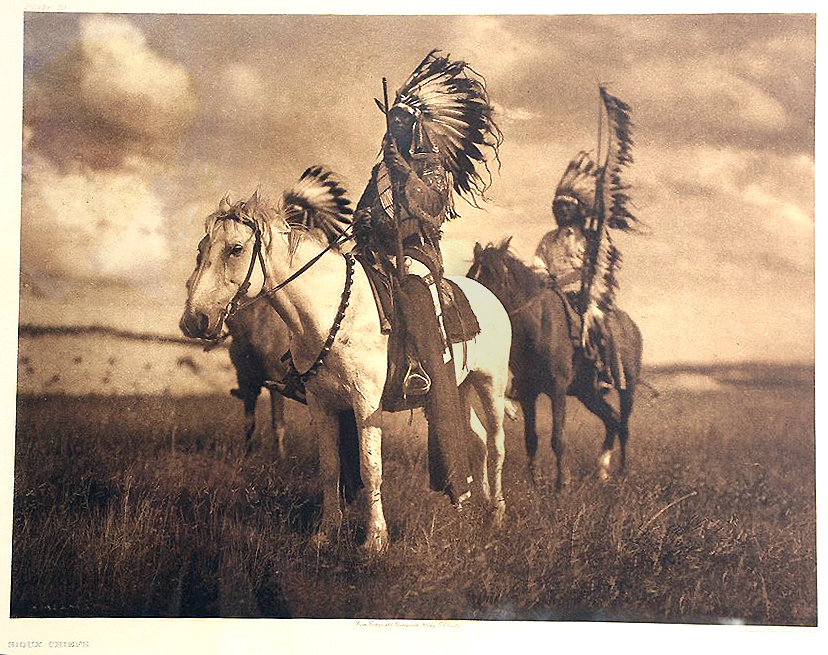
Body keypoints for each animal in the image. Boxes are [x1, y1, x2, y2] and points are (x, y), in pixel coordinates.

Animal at [181, 187, 512, 552]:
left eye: (236, 249)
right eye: (201, 250)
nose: (195, 319)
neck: (331, 312)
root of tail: (490, 297)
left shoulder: (366, 404)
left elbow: (370, 468)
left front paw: (375, 540)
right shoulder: (322, 405)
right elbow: (330, 467)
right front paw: (326, 532)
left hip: (491, 386)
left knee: (496, 444)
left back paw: (496, 515)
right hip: (459, 388)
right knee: (477, 441)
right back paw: (476, 504)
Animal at [468, 240, 644, 486]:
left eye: (492, 274)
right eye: (470, 274)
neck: (539, 327)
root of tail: (632, 327)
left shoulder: (557, 390)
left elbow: (557, 438)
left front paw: (561, 484)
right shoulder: (528, 393)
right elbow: (531, 438)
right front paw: (534, 483)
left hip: (627, 389)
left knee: (624, 425)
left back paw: (622, 472)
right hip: (587, 393)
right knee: (612, 419)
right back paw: (602, 471)